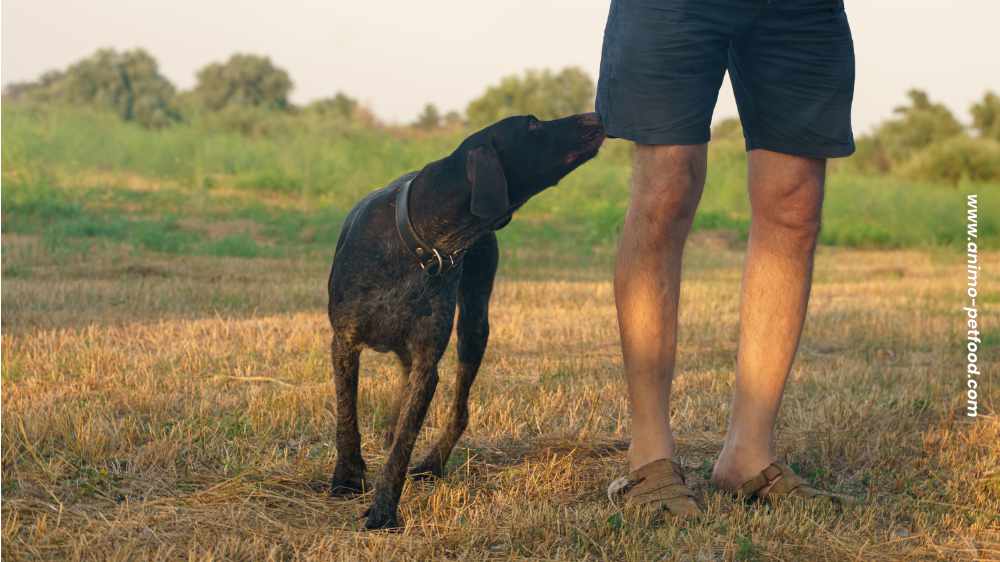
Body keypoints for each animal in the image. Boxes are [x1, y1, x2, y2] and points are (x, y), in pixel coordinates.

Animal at [328, 111, 604, 528]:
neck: (419, 242)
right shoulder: (345, 342)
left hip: (474, 325)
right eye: (533, 126)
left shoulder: (428, 363)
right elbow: (347, 418)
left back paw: (432, 464)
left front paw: (384, 510)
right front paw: (346, 478)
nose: (594, 115)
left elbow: (403, 445)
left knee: (459, 410)